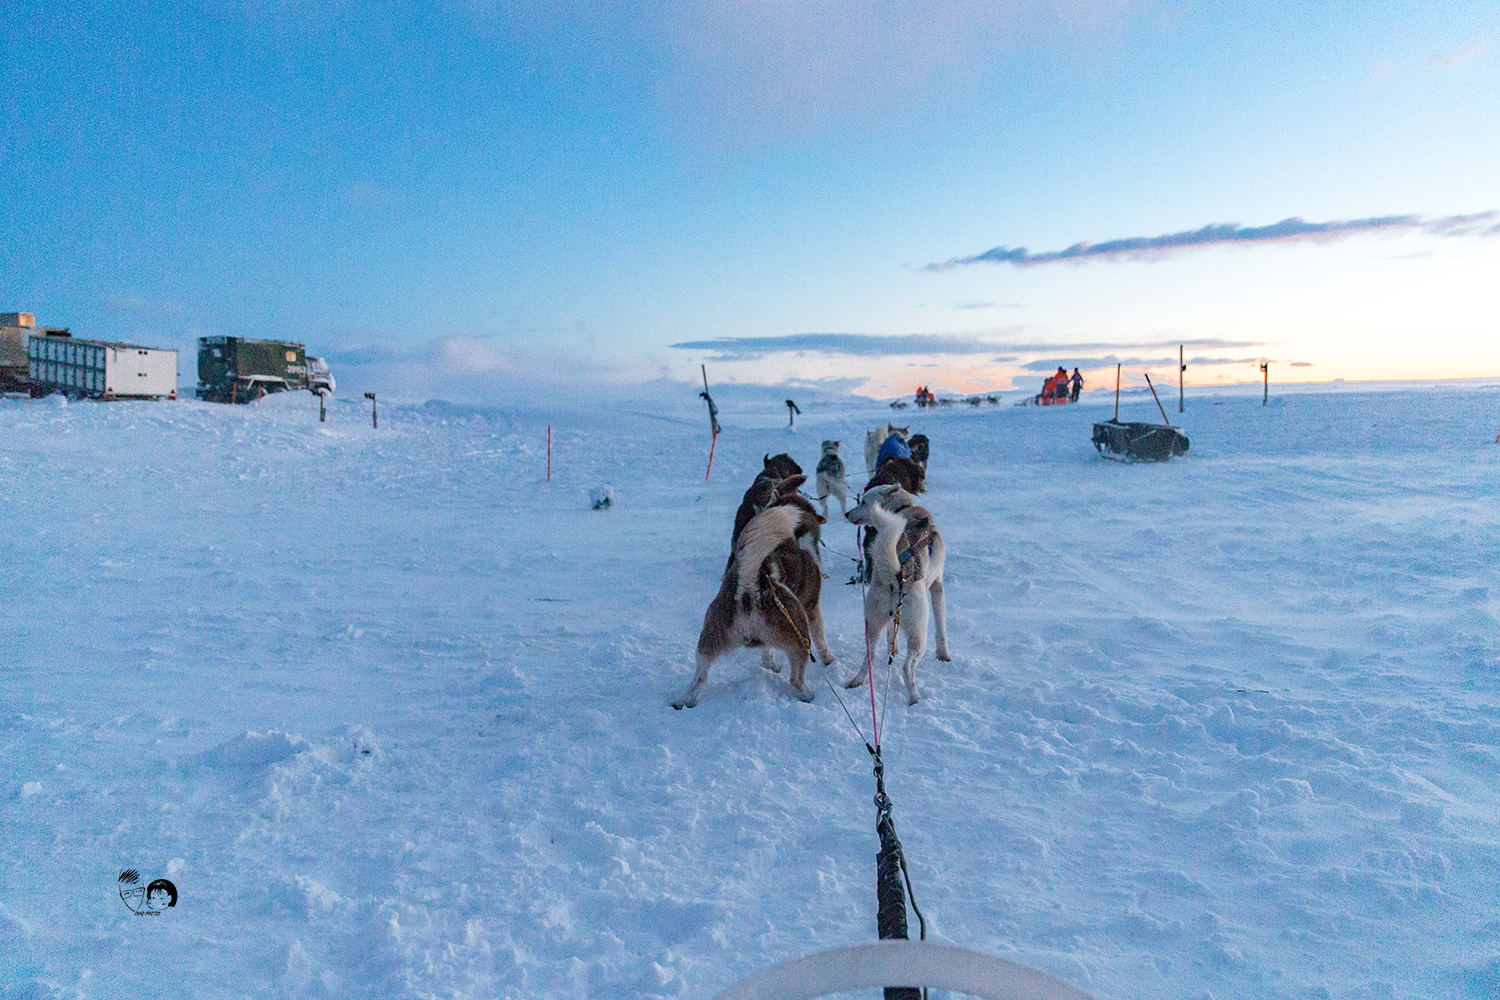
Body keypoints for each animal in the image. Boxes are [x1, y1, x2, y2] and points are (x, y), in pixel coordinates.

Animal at [678, 503, 840, 707]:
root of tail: (749, 588)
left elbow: (767, 651)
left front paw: (770, 666)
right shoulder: (811, 607)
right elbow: (821, 638)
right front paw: (829, 661)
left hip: (710, 641)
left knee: (700, 677)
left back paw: (686, 701)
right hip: (800, 637)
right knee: (796, 678)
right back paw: (808, 695)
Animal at [846, 482, 948, 704]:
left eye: (863, 501)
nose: (847, 513)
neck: (904, 509)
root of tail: (896, 575)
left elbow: (890, 637)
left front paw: (894, 649)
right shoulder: (937, 585)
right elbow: (941, 627)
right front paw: (943, 655)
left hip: (872, 623)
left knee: (870, 657)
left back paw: (857, 681)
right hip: (919, 634)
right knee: (907, 668)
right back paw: (915, 697)